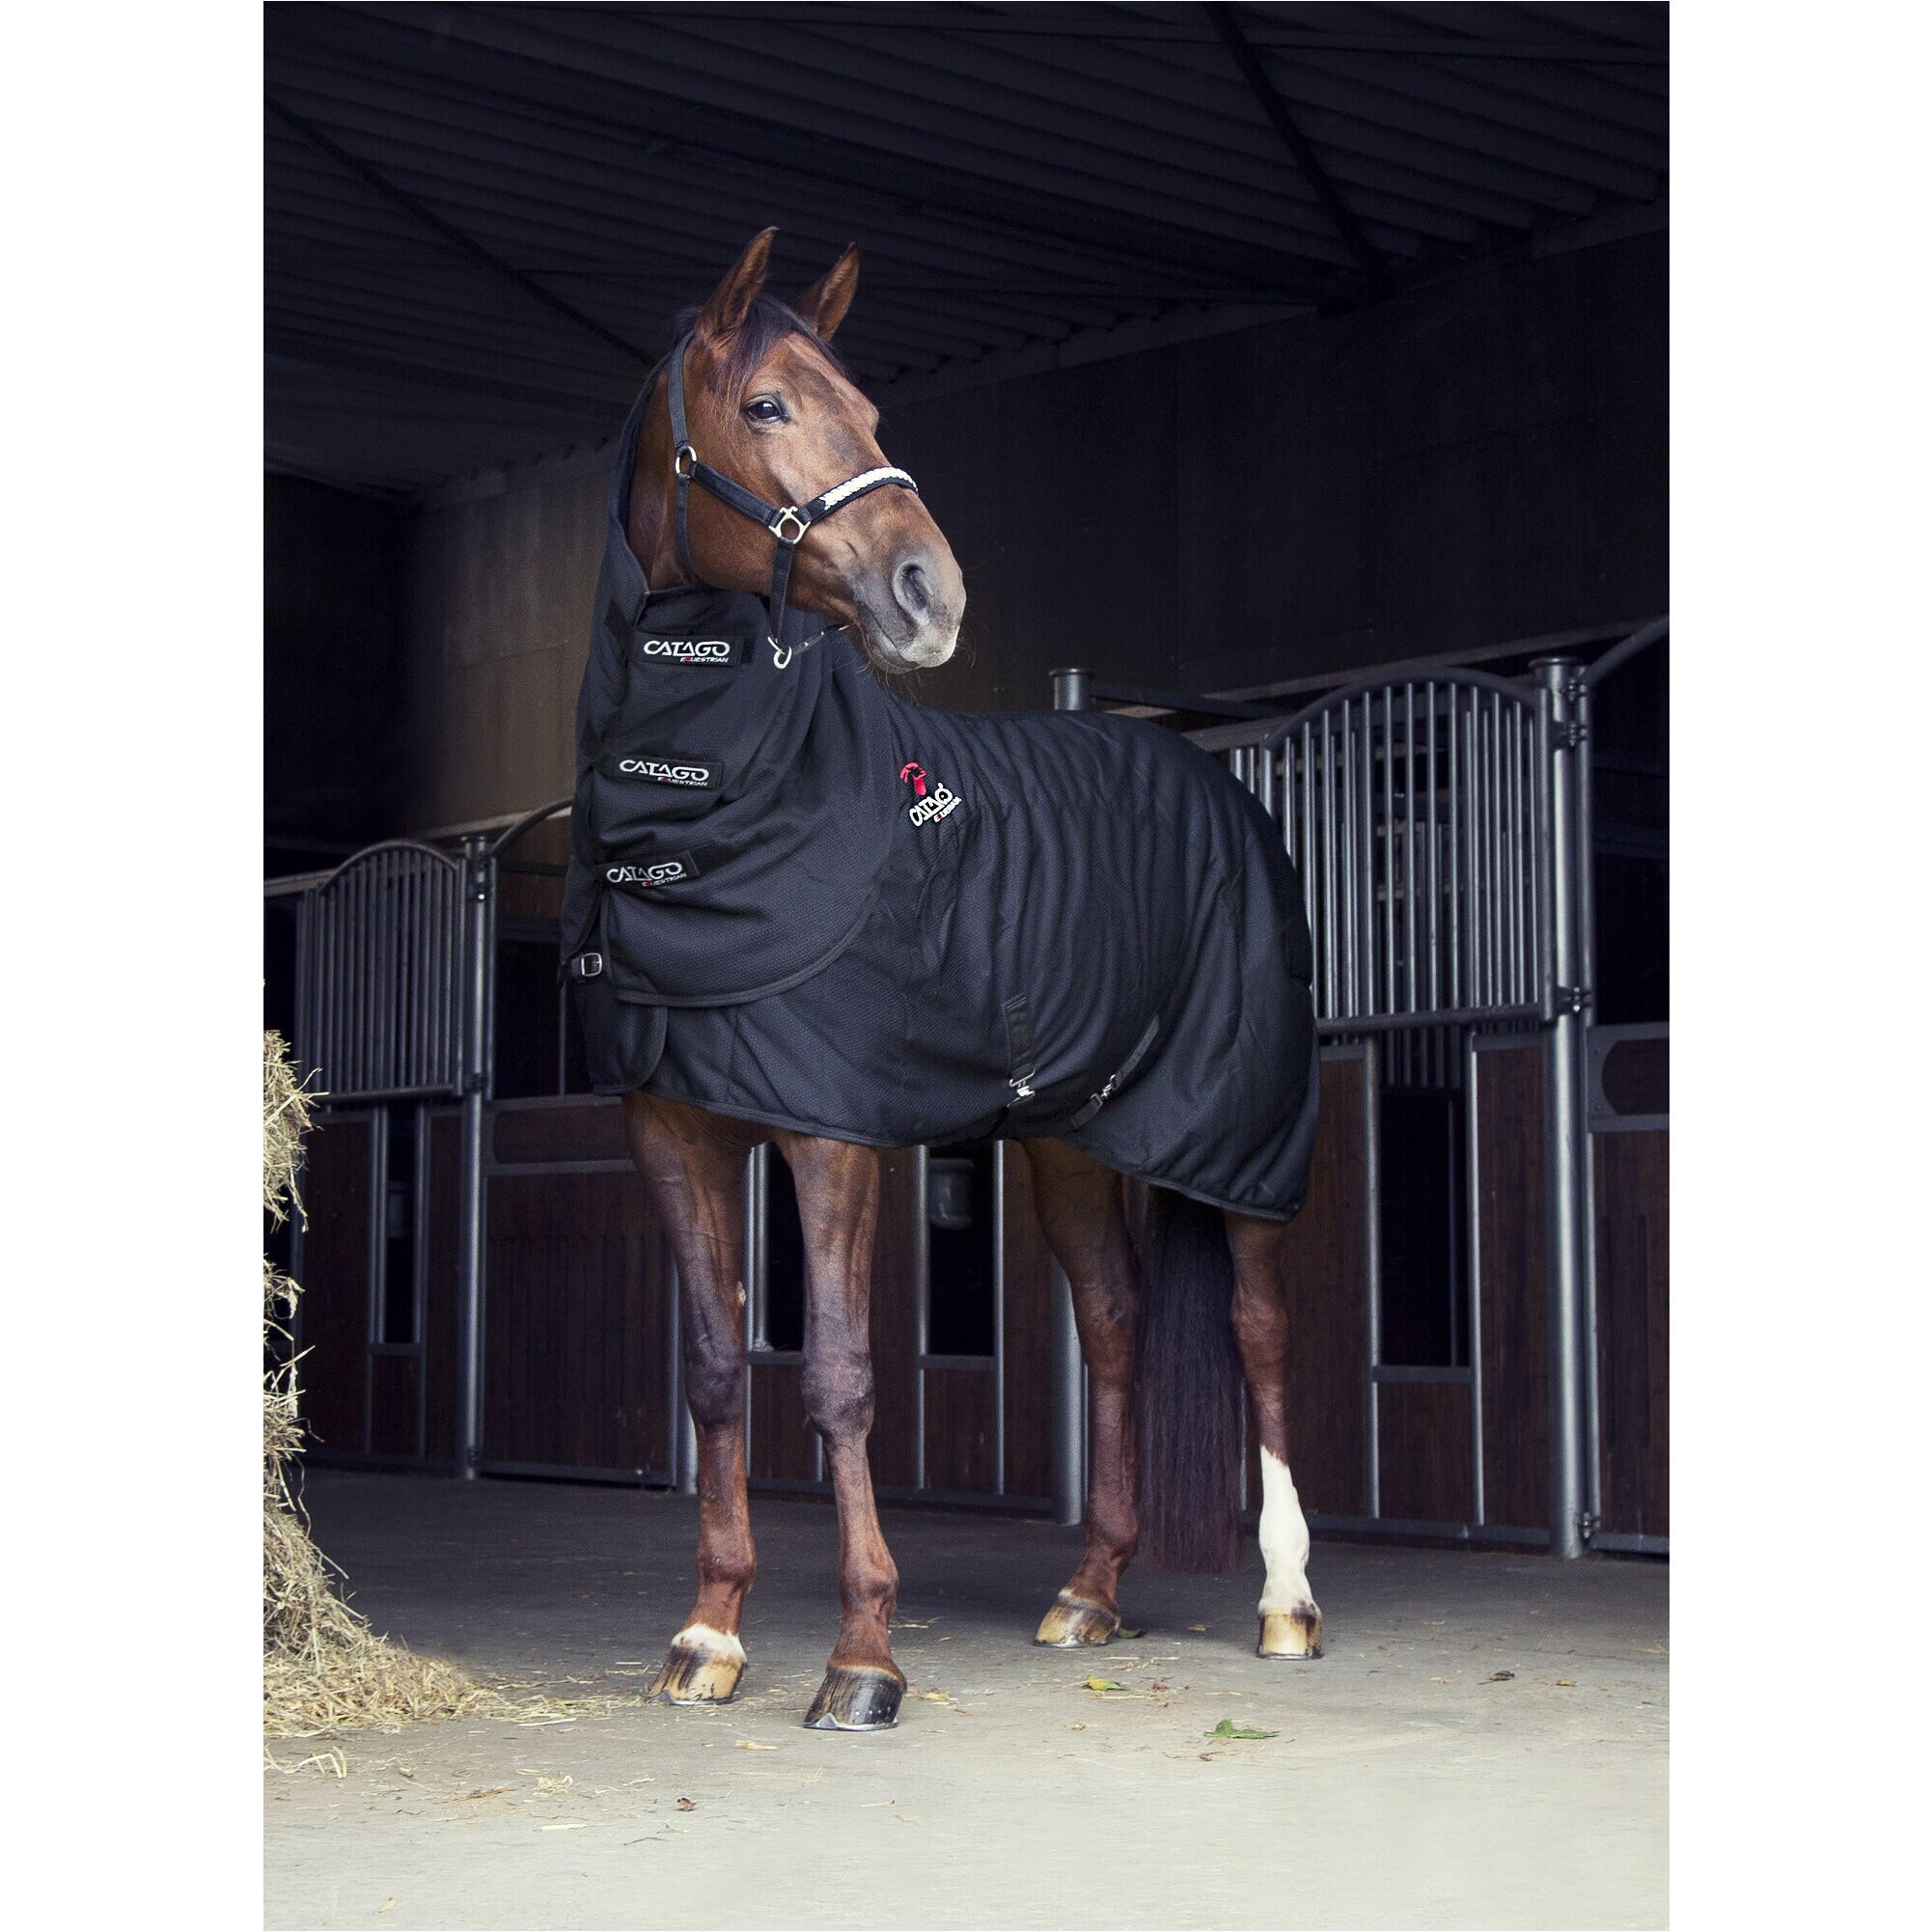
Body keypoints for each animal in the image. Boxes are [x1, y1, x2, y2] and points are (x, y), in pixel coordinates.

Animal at [568, 229, 1324, 1731]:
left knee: (1260, 1327)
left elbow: (842, 1375)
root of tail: (1212, 777)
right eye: (765, 407)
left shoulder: (830, 1129)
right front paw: (707, 1633)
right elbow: (716, 1373)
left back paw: (1285, 1603)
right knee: (1116, 1326)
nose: (933, 593)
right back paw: (1088, 1592)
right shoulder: (673, 1125)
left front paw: (862, 1655)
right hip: (1076, 1138)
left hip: (1238, 1135)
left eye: (870, 409)